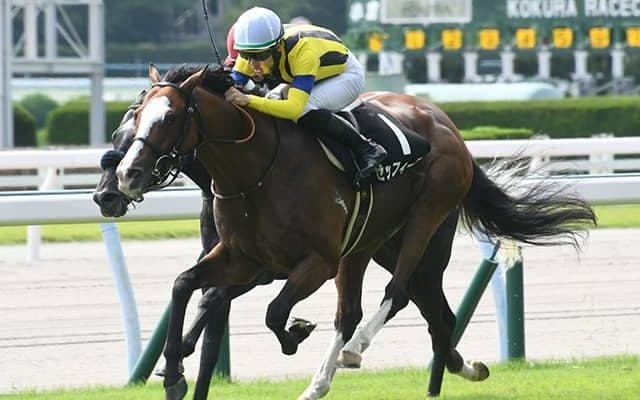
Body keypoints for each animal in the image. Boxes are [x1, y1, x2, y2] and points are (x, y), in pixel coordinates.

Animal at [115, 64, 595, 399]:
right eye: (134, 116)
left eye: (170, 117)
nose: (126, 175)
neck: (256, 169)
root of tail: (447, 126)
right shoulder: (243, 259)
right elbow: (185, 285)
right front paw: (173, 372)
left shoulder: (317, 262)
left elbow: (273, 311)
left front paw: (296, 332)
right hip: (373, 243)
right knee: (422, 313)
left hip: (424, 218)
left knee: (395, 295)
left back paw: (354, 351)